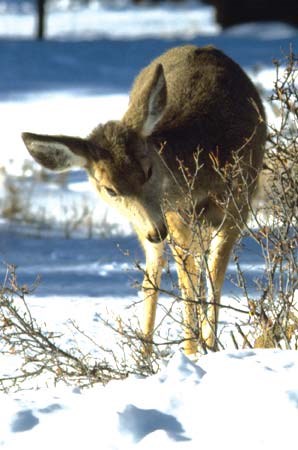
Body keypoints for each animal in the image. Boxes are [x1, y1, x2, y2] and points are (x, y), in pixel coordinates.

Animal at [22, 44, 266, 356]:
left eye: (148, 170)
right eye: (109, 189)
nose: (156, 230)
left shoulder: (237, 205)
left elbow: (213, 280)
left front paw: (206, 348)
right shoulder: (174, 219)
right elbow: (187, 281)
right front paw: (190, 351)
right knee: (153, 274)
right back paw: (145, 355)